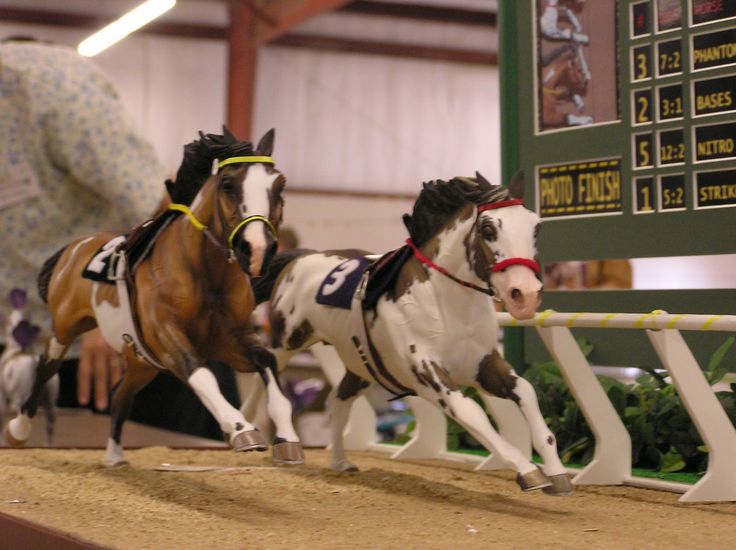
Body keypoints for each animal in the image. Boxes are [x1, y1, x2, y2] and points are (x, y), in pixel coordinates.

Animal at [4, 128, 300, 466]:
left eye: (280, 185)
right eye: (228, 184)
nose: (257, 249)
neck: (204, 276)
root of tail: (76, 247)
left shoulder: (232, 340)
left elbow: (268, 364)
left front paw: (287, 439)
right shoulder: (168, 338)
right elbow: (201, 374)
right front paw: (241, 429)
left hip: (141, 362)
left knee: (120, 395)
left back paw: (115, 457)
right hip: (66, 328)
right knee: (46, 368)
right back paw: (18, 430)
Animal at [254, 172, 576, 496]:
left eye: (536, 226)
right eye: (487, 228)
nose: (525, 294)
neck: (448, 305)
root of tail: (301, 259)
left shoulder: (484, 365)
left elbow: (527, 391)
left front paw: (557, 472)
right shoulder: (428, 375)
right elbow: (471, 411)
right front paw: (528, 470)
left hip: (359, 364)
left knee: (338, 400)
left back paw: (340, 461)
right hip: (287, 341)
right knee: (267, 373)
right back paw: (283, 443)